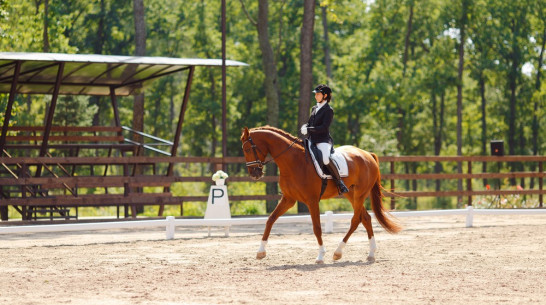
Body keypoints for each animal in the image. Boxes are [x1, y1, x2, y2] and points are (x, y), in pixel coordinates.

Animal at [239, 124, 400, 262]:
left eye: (247, 149)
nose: (254, 174)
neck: (293, 162)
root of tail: (368, 154)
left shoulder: (312, 200)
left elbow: (317, 228)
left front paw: (321, 255)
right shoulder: (288, 199)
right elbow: (270, 219)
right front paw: (261, 252)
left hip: (360, 194)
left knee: (355, 220)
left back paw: (338, 252)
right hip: (351, 194)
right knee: (365, 218)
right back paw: (371, 253)